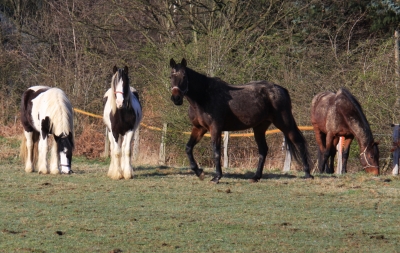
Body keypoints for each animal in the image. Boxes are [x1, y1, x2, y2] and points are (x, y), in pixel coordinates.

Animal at [169, 58, 312, 183]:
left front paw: (217, 177)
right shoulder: (199, 128)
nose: (176, 98)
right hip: (259, 127)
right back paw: (256, 177)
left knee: (298, 142)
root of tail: (280, 89)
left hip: (284, 123)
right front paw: (199, 173)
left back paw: (308, 174)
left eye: (184, 77)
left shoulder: (215, 128)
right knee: (263, 150)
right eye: (171, 77)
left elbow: (216, 151)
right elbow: (188, 148)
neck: (203, 97)